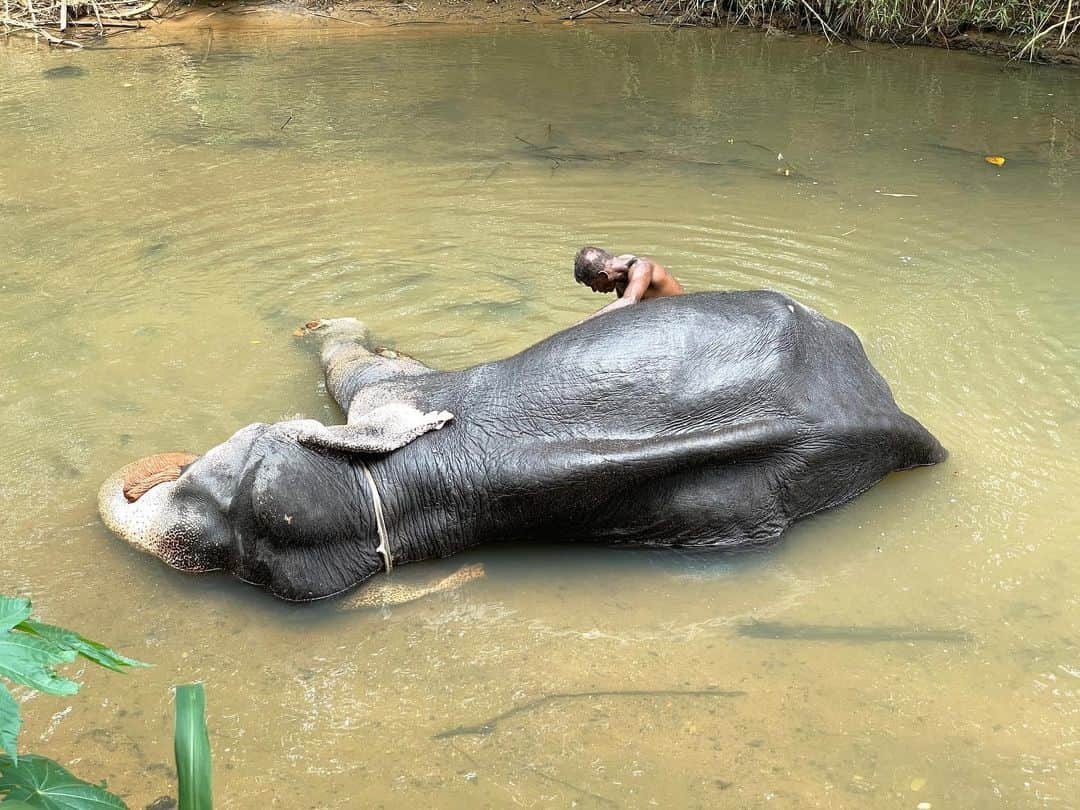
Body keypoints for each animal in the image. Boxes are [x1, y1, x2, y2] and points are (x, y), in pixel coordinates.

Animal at [99, 293, 946, 604]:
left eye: (214, 484)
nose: (141, 482)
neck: (386, 494)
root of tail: (901, 422)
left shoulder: (397, 396)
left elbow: (360, 366)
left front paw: (321, 324)